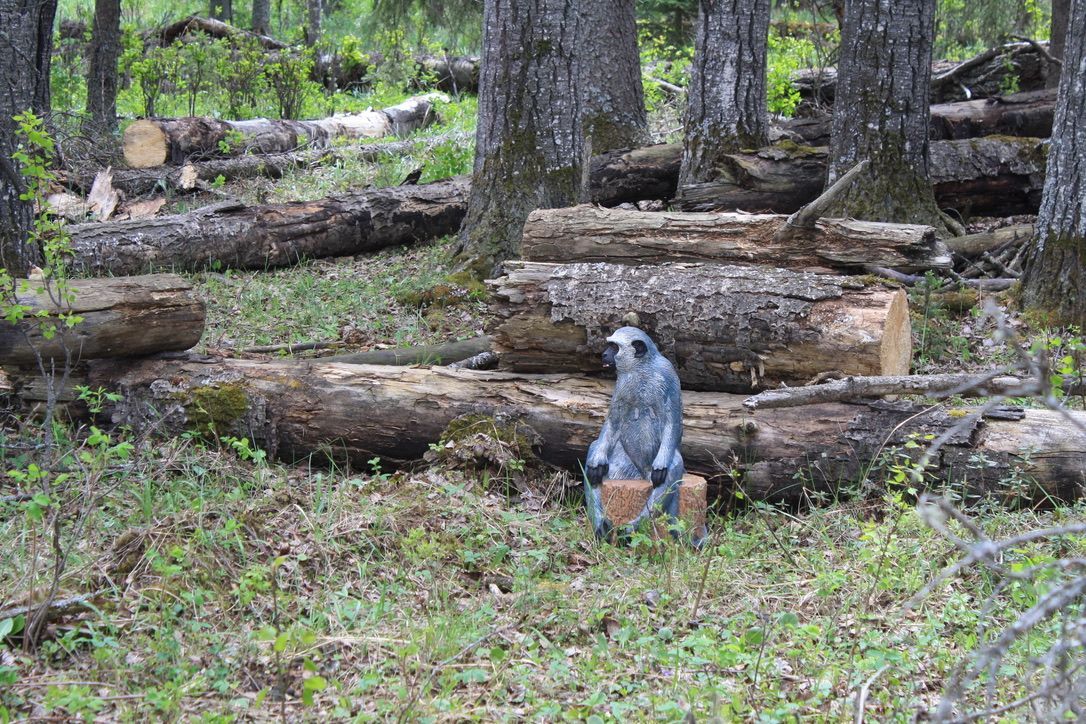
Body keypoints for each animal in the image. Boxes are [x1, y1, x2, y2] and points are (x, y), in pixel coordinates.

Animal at [583, 326, 691, 544]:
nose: (604, 354)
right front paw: (596, 462)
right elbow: (614, 421)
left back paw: (630, 527)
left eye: (614, 346)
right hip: (625, 465)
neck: (642, 370)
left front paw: (662, 464)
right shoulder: (622, 383)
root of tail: (642, 473)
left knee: (672, 467)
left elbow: (673, 422)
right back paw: (601, 524)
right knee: (594, 457)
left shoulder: (667, 373)